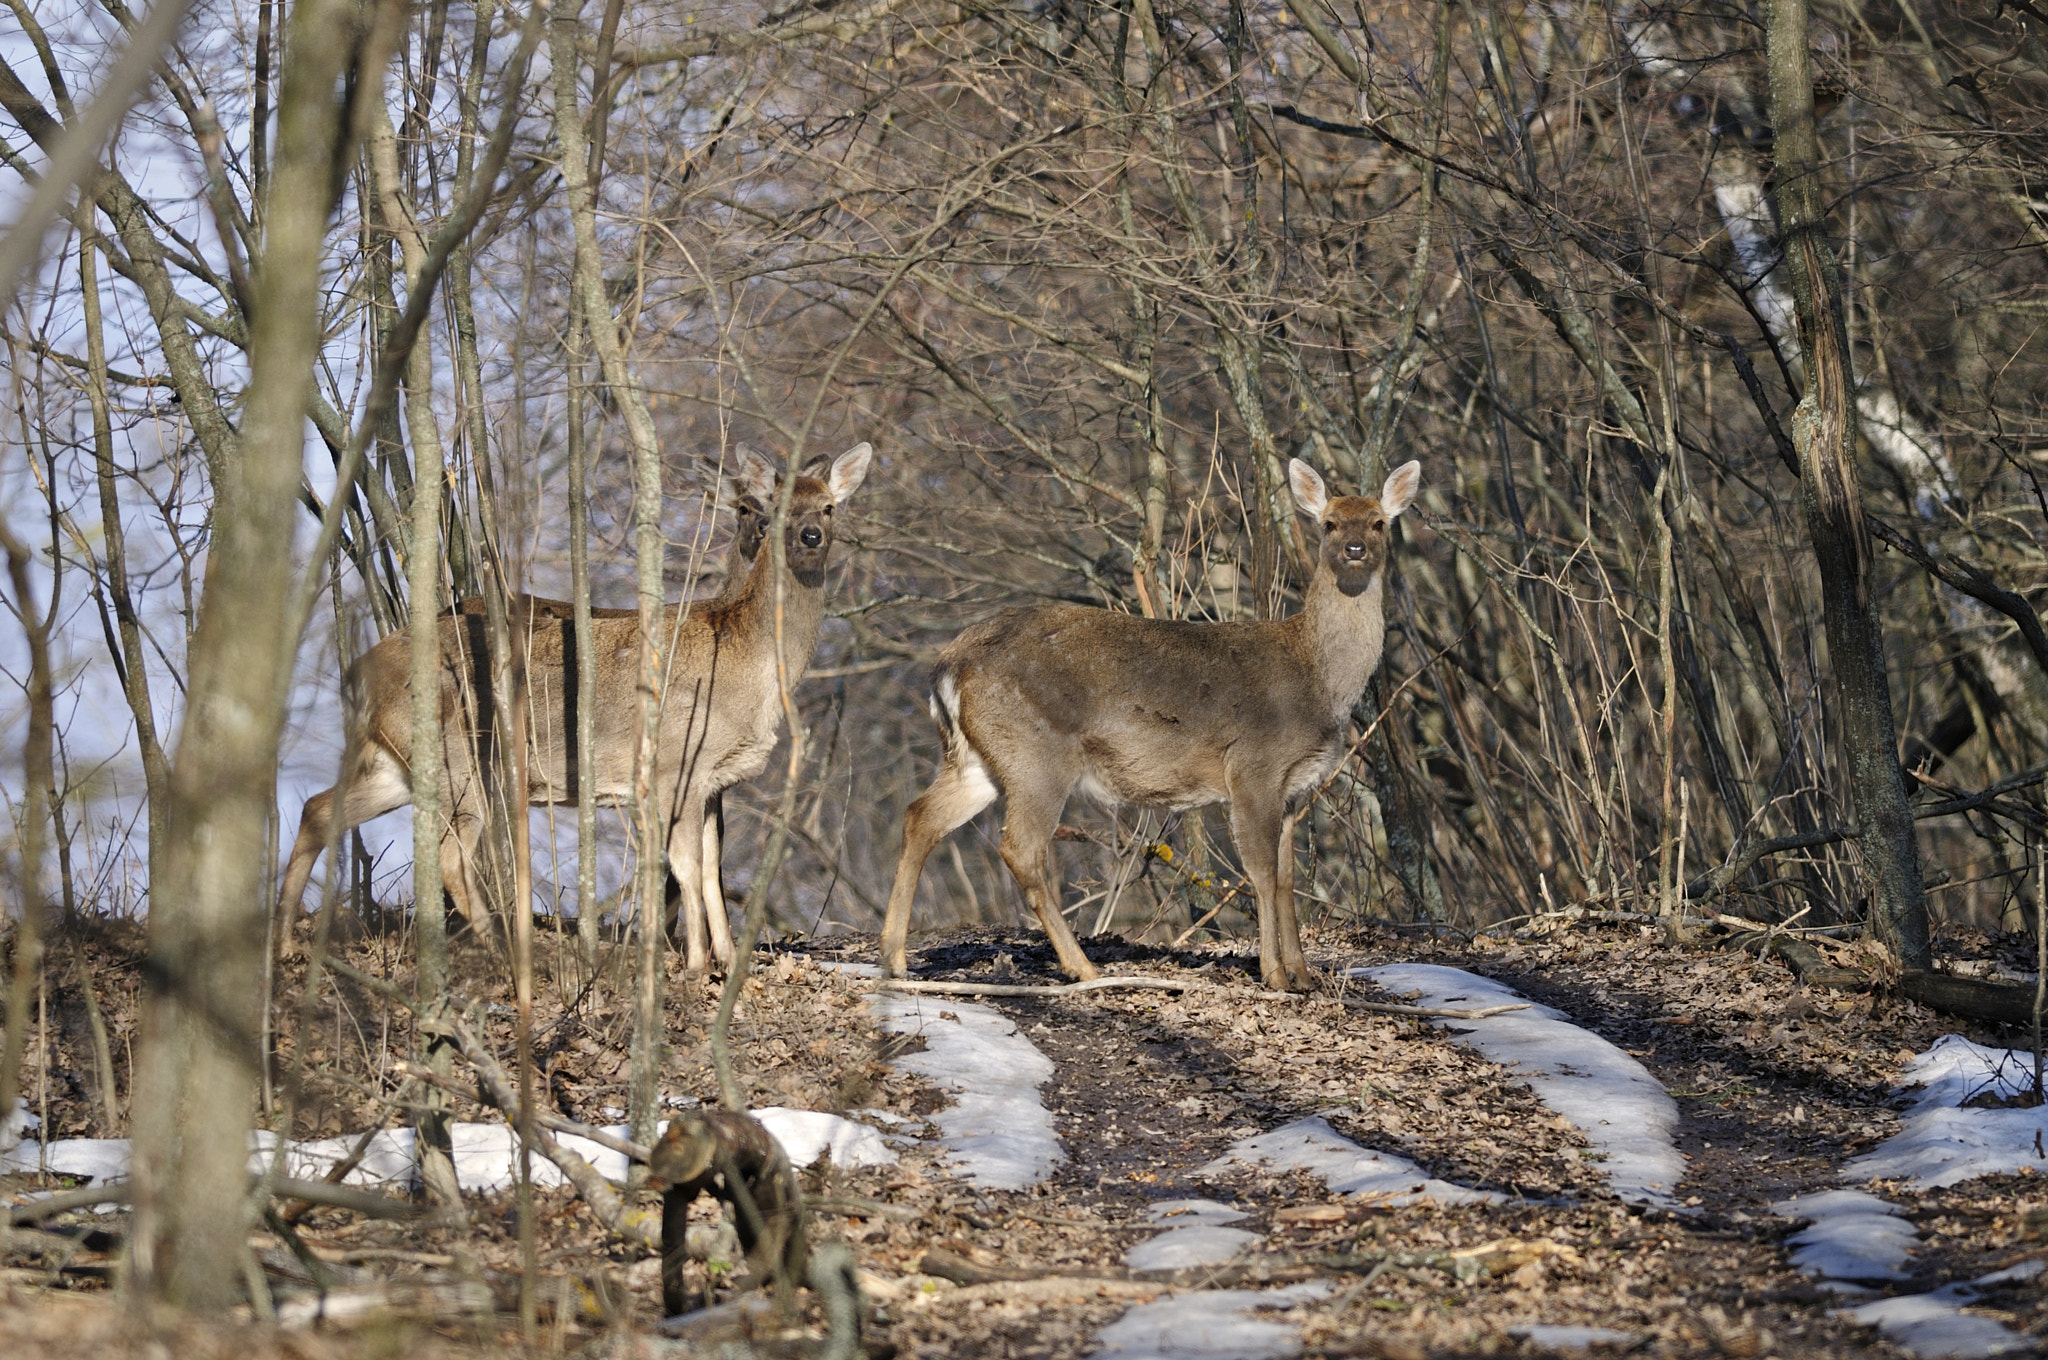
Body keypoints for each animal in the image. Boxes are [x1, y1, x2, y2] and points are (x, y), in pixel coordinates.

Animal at [276, 440, 868, 970]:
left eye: (829, 506)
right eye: (766, 506)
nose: (810, 535)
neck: (746, 660)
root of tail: (357, 671)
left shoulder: (712, 778)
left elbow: (708, 865)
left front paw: (724, 960)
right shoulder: (675, 763)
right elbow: (686, 864)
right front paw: (698, 963)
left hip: (400, 764)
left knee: (319, 810)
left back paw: (284, 941)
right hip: (461, 761)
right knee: (446, 857)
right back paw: (506, 954)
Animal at [880, 456, 1425, 987]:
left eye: (1379, 522)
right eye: (1328, 522)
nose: (1354, 548)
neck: (1317, 679)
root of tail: (947, 663)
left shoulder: (1295, 787)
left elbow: (1288, 877)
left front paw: (1304, 976)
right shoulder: (1252, 766)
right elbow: (1262, 872)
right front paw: (1274, 975)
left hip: (981, 759)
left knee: (920, 816)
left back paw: (896, 958)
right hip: (1037, 754)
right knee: (1020, 848)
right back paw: (1082, 966)